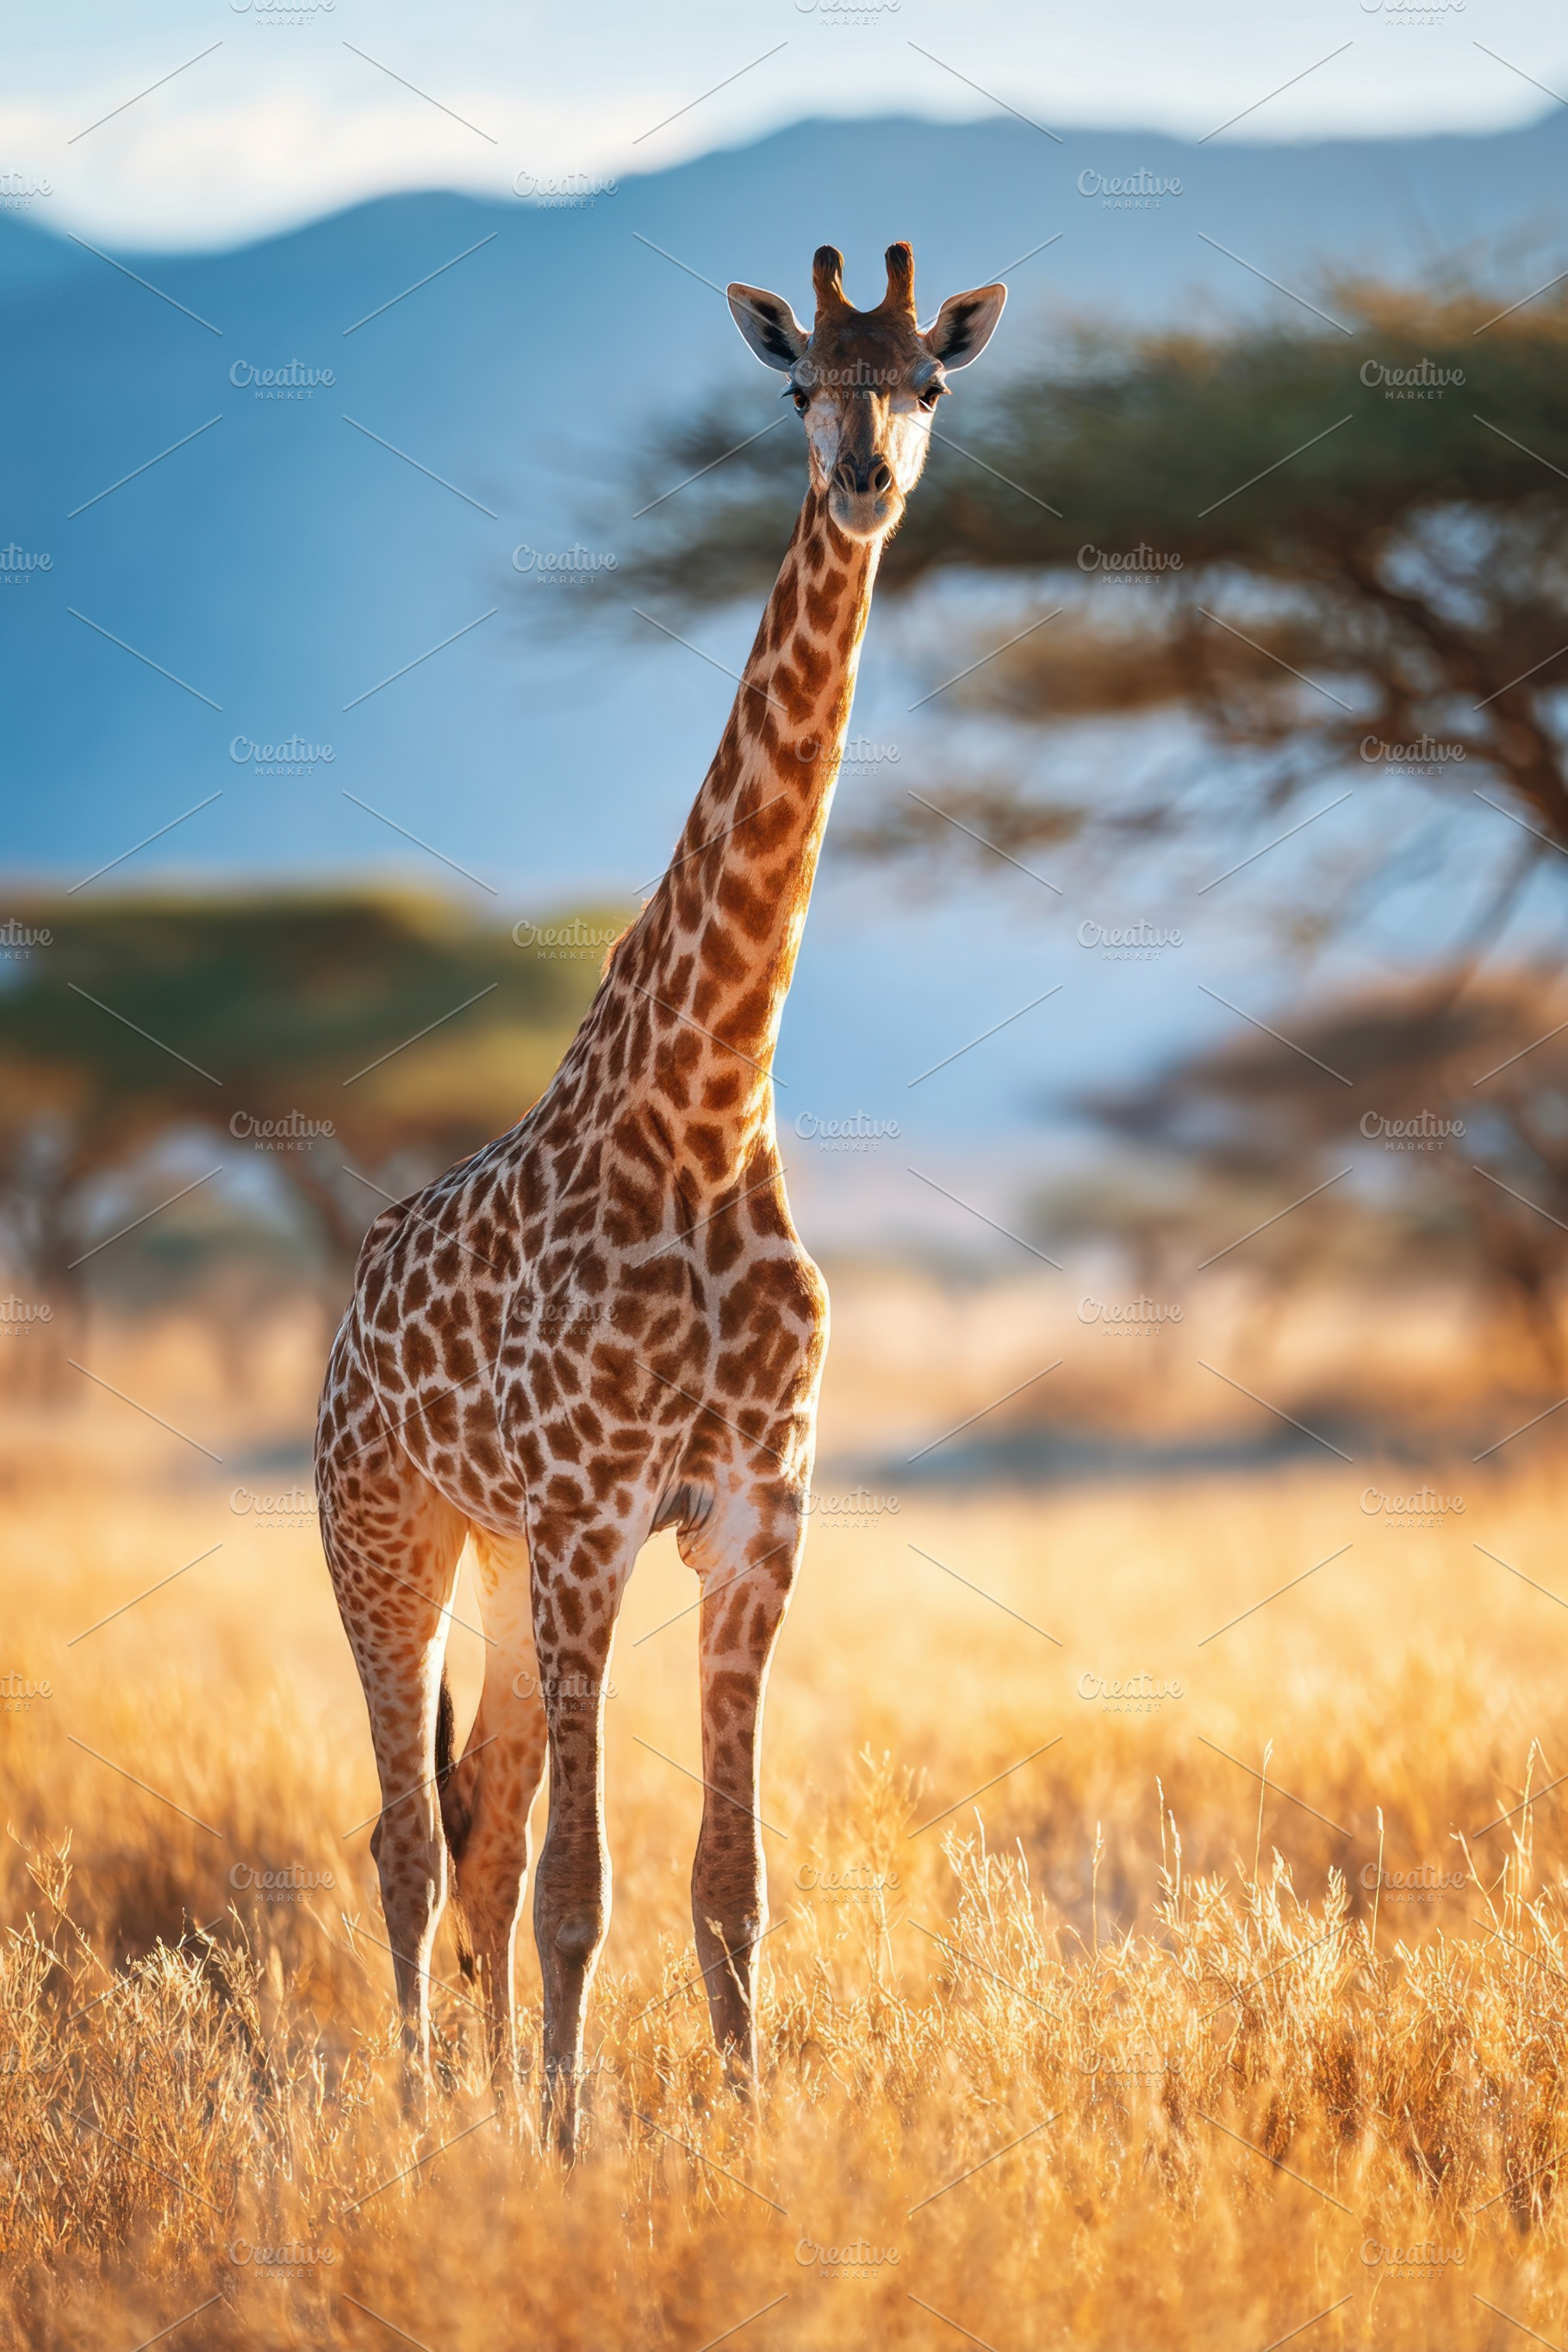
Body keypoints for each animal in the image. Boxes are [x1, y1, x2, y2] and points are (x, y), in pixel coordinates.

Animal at [314, 241, 1006, 2150]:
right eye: (800, 388)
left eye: (928, 381)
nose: (867, 481)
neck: (707, 1107)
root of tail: (343, 1314)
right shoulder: (591, 1517)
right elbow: (584, 1889)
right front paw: (563, 2153)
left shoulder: (754, 1517)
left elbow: (725, 1885)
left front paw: (733, 2131)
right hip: (388, 1532)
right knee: (409, 1843)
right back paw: (426, 2121)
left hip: (493, 1556)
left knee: (473, 1837)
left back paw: (472, 2105)